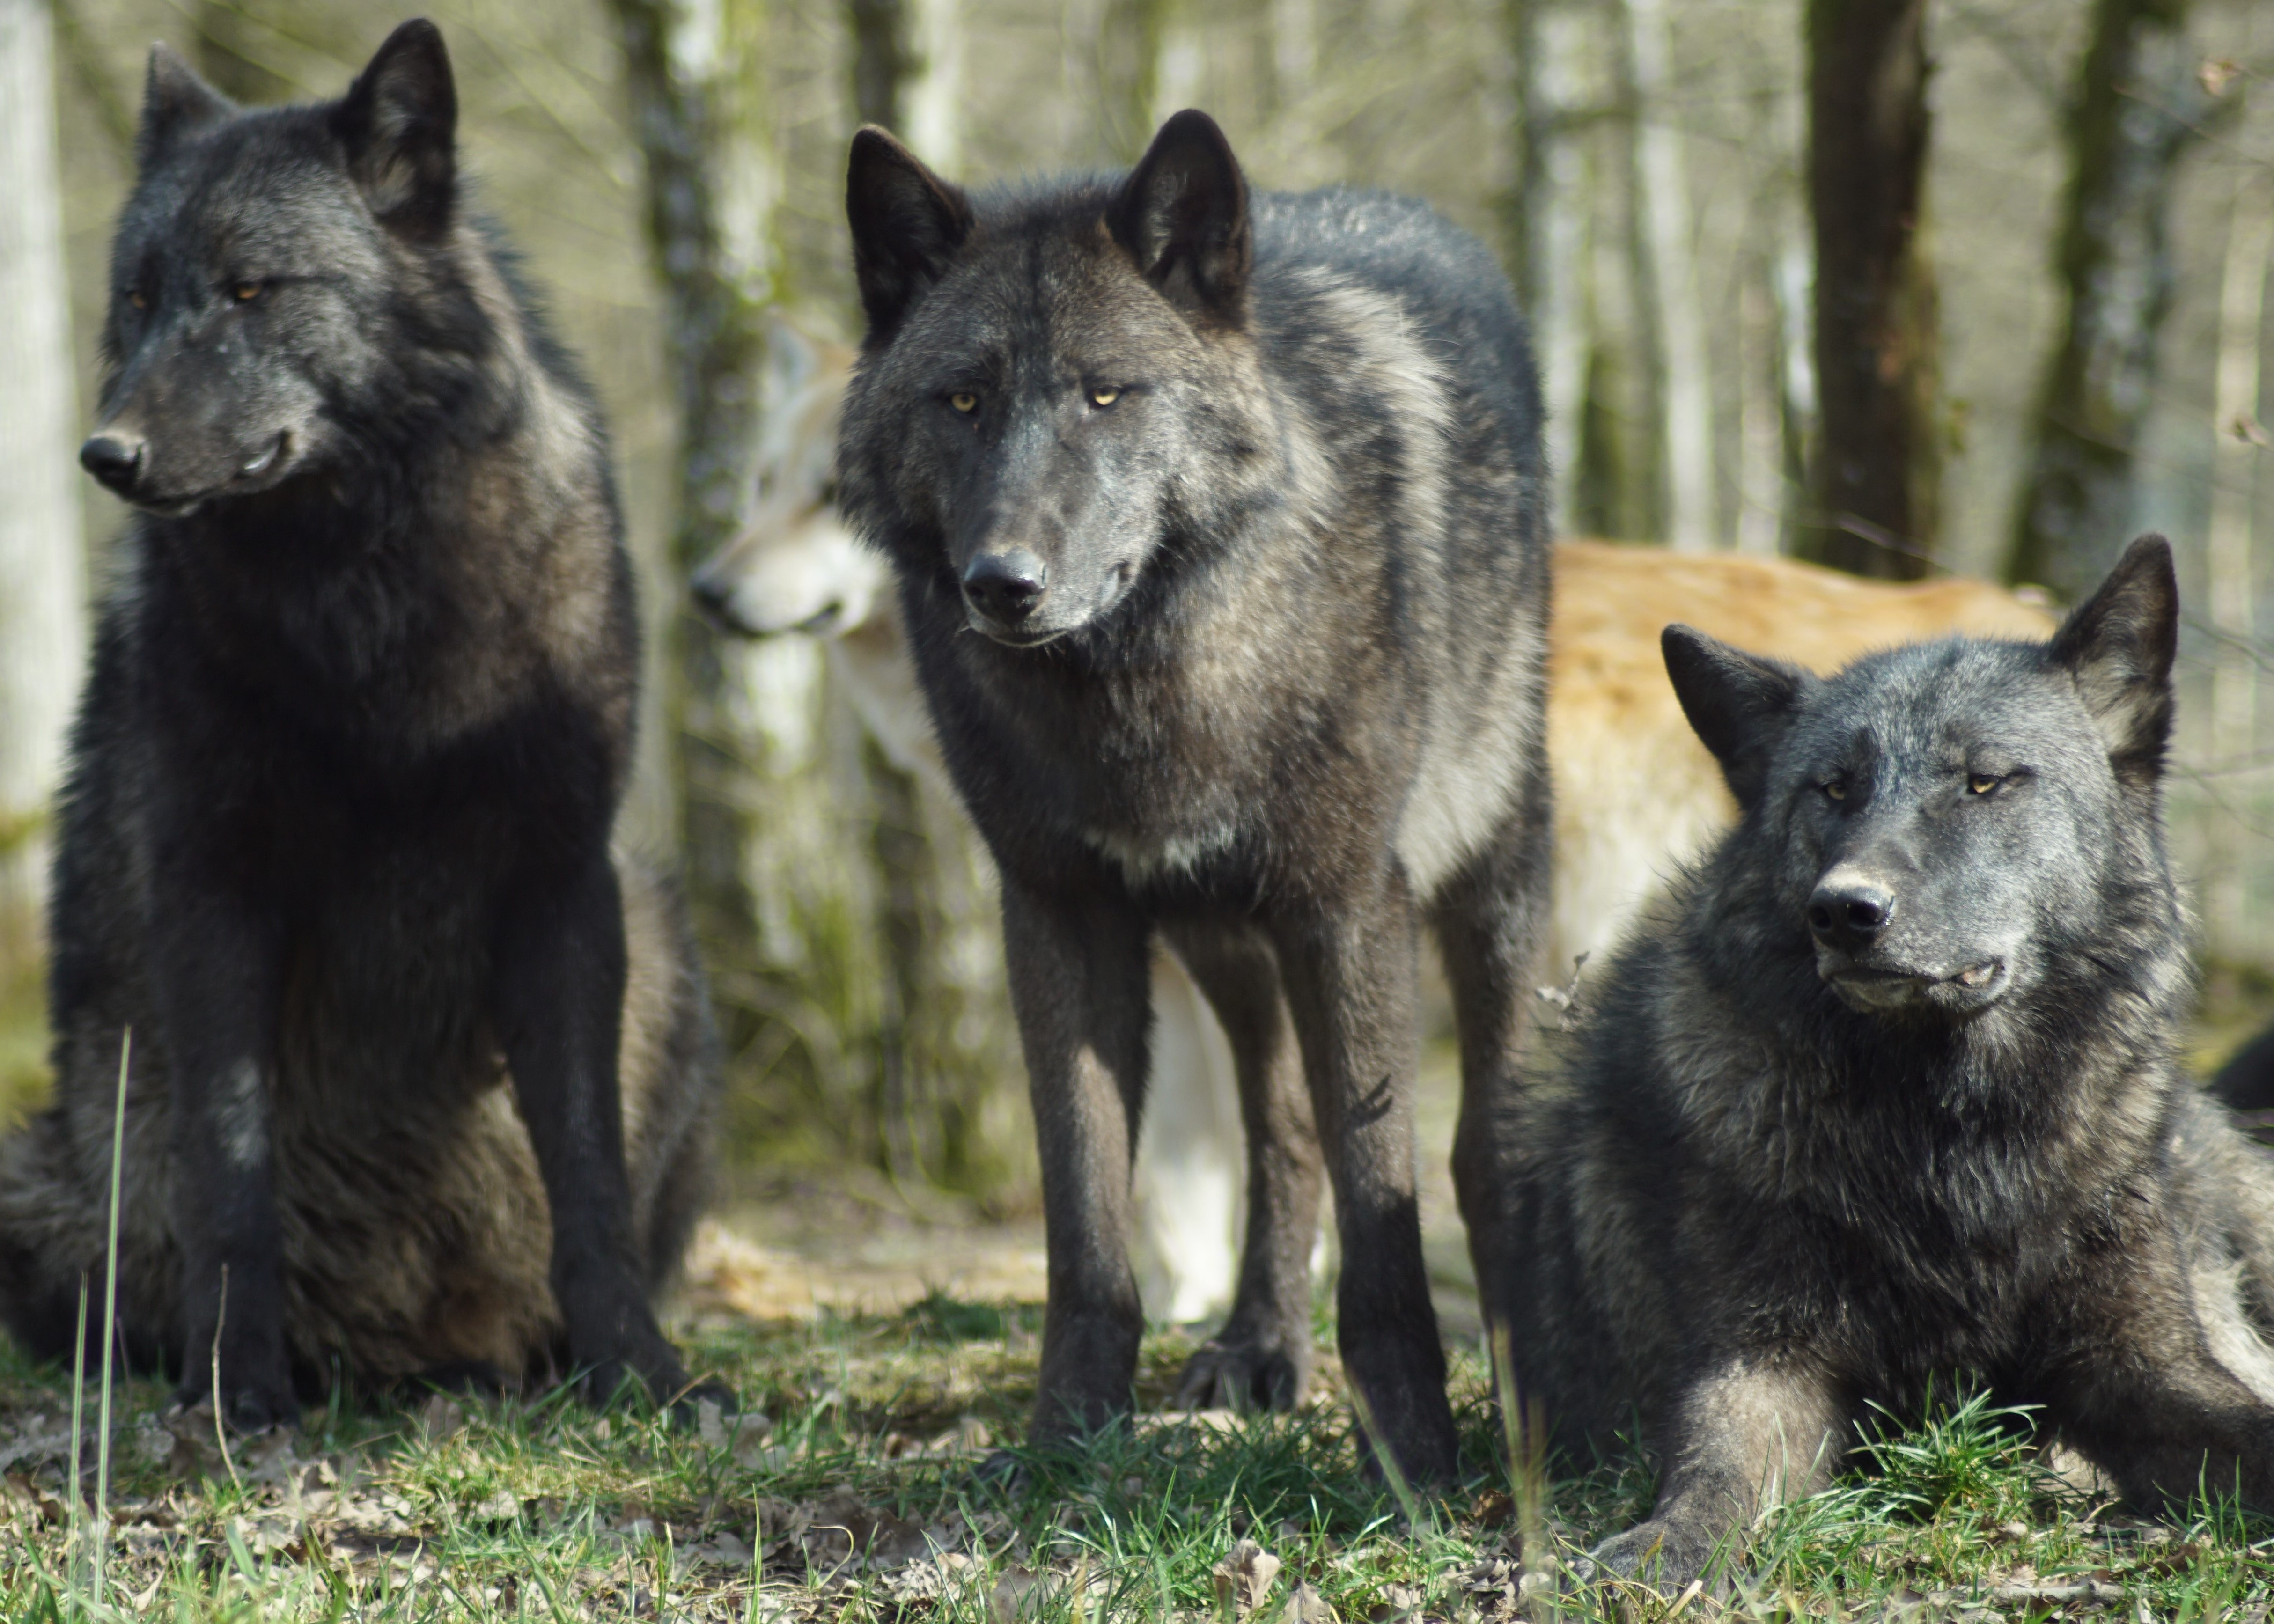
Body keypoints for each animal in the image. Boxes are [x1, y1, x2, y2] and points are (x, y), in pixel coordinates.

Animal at [0, 21, 722, 1428]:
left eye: (250, 291)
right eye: (138, 297)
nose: (104, 456)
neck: (374, 608)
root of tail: (400, 1354)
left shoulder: (561, 880)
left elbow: (587, 1170)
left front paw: (639, 1371)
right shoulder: (214, 888)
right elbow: (231, 1170)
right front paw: (236, 1392)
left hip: (667, 934)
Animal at [835, 110, 1554, 1478]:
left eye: (1106, 393)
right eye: (962, 399)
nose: (1001, 582)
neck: (1144, 687)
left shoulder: (1346, 906)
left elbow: (1383, 1197)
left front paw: (1413, 1454)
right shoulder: (1058, 914)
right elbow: (1085, 1214)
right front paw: (1065, 1440)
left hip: (1485, 885)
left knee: (1480, 1135)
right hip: (1222, 939)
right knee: (1278, 1129)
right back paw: (1259, 1343)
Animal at [1488, 536, 2274, 1588]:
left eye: (1984, 781)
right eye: (1832, 787)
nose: (1843, 910)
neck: (1948, 1139)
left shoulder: (2144, 1367)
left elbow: (2249, 1424)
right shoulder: (1762, 1358)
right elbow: (1717, 1460)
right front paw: (1667, 1545)